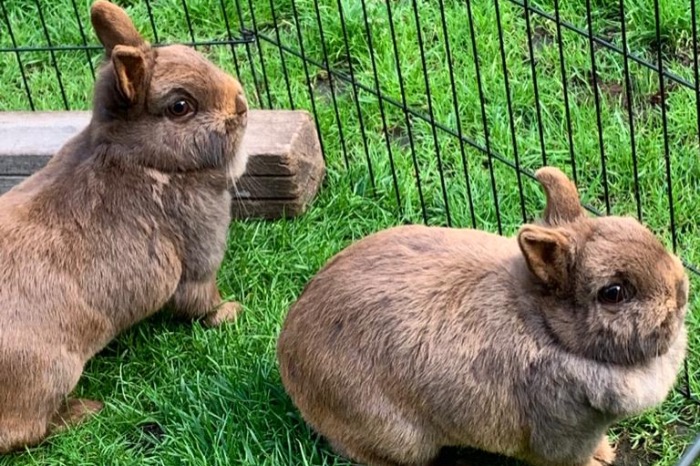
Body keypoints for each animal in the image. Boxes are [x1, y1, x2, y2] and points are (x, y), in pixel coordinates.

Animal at [0, 0, 249, 452]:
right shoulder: (198, 264)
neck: (146, 157)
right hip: (51, 372)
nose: (240, 105)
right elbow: (200, 302)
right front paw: (230, 312)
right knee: (25, 432)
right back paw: (85, 411)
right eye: (180, 106)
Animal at [276, 167, 688, 466]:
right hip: (399, 438)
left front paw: (607, 452)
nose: (682, 292)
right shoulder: (560, 439)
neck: (549, 330)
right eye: (613, 293)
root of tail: (287, 354)